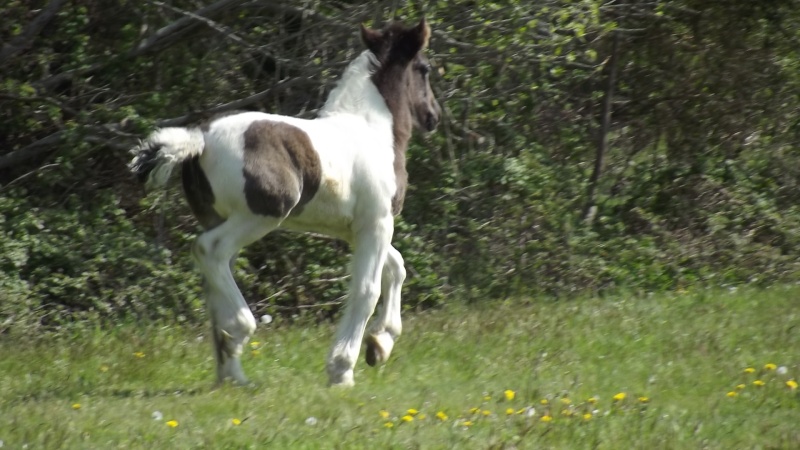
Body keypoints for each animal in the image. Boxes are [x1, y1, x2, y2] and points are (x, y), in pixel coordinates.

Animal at [131, 19, 444, 386]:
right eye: (424, 69)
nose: (433, 116)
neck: (371, 130)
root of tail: (200, 139)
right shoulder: (378, 221)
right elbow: (367, 289)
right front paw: (342, 368)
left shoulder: (354, 228)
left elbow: (396, 268)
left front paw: (379, 344)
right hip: (261, 215)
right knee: (209, 249)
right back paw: (239, 332)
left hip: (220, 217)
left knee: (213, 282)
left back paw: (232, 373)